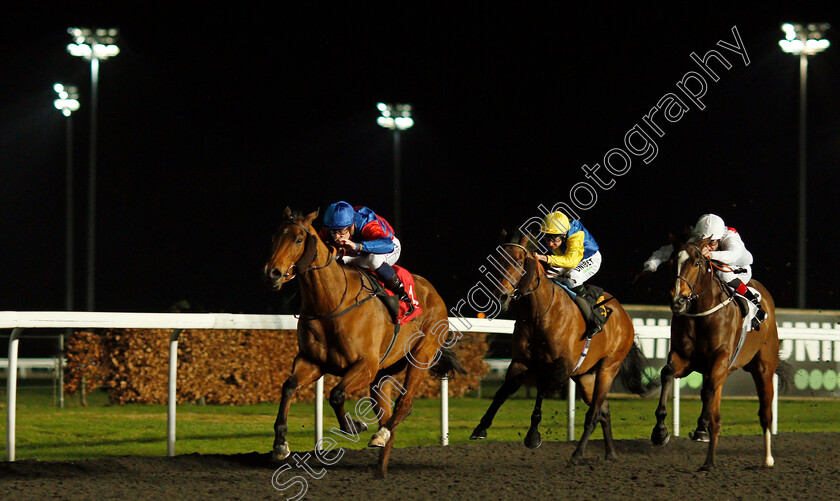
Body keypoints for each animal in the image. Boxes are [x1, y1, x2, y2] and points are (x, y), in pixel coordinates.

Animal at [266, 206, 460, 476]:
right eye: (275, 237)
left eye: (298, 239)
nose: (272, 273)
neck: (331, 302)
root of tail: (433, 292)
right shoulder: (312, 362)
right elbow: (288, 387)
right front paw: (280, 444)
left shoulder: (365, 365)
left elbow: (336, 394)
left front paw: (353, 426)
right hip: (384, 373)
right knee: (385, 411)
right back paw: (381, 459)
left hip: (420, 356)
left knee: (405, 402)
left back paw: (382, 433)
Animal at [470, 232, 652, 462]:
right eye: (498, 261)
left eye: (519, 262)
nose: (501, 295)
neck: (539, 314)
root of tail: (626, 318)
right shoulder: (521, 362)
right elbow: (502, 392)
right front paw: (481, 428)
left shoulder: (558, 367)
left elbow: (541, 389)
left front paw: (533, 436)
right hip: (585, 376)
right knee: (603, 408)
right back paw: (610, 453)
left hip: (608, 367)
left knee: (594, 412)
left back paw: (577, 453)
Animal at [648, 236, 788, 470]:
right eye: (671, 263)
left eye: (697, 263)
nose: (678, 300)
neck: (701, 313)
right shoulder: (684, 358)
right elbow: (668, 374)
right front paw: (660, 432)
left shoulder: (721, 358)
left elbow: (708, 394)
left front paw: (704, 440)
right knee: (712, 390)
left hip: (763, 368)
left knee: (765, 412)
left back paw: (768, 458)